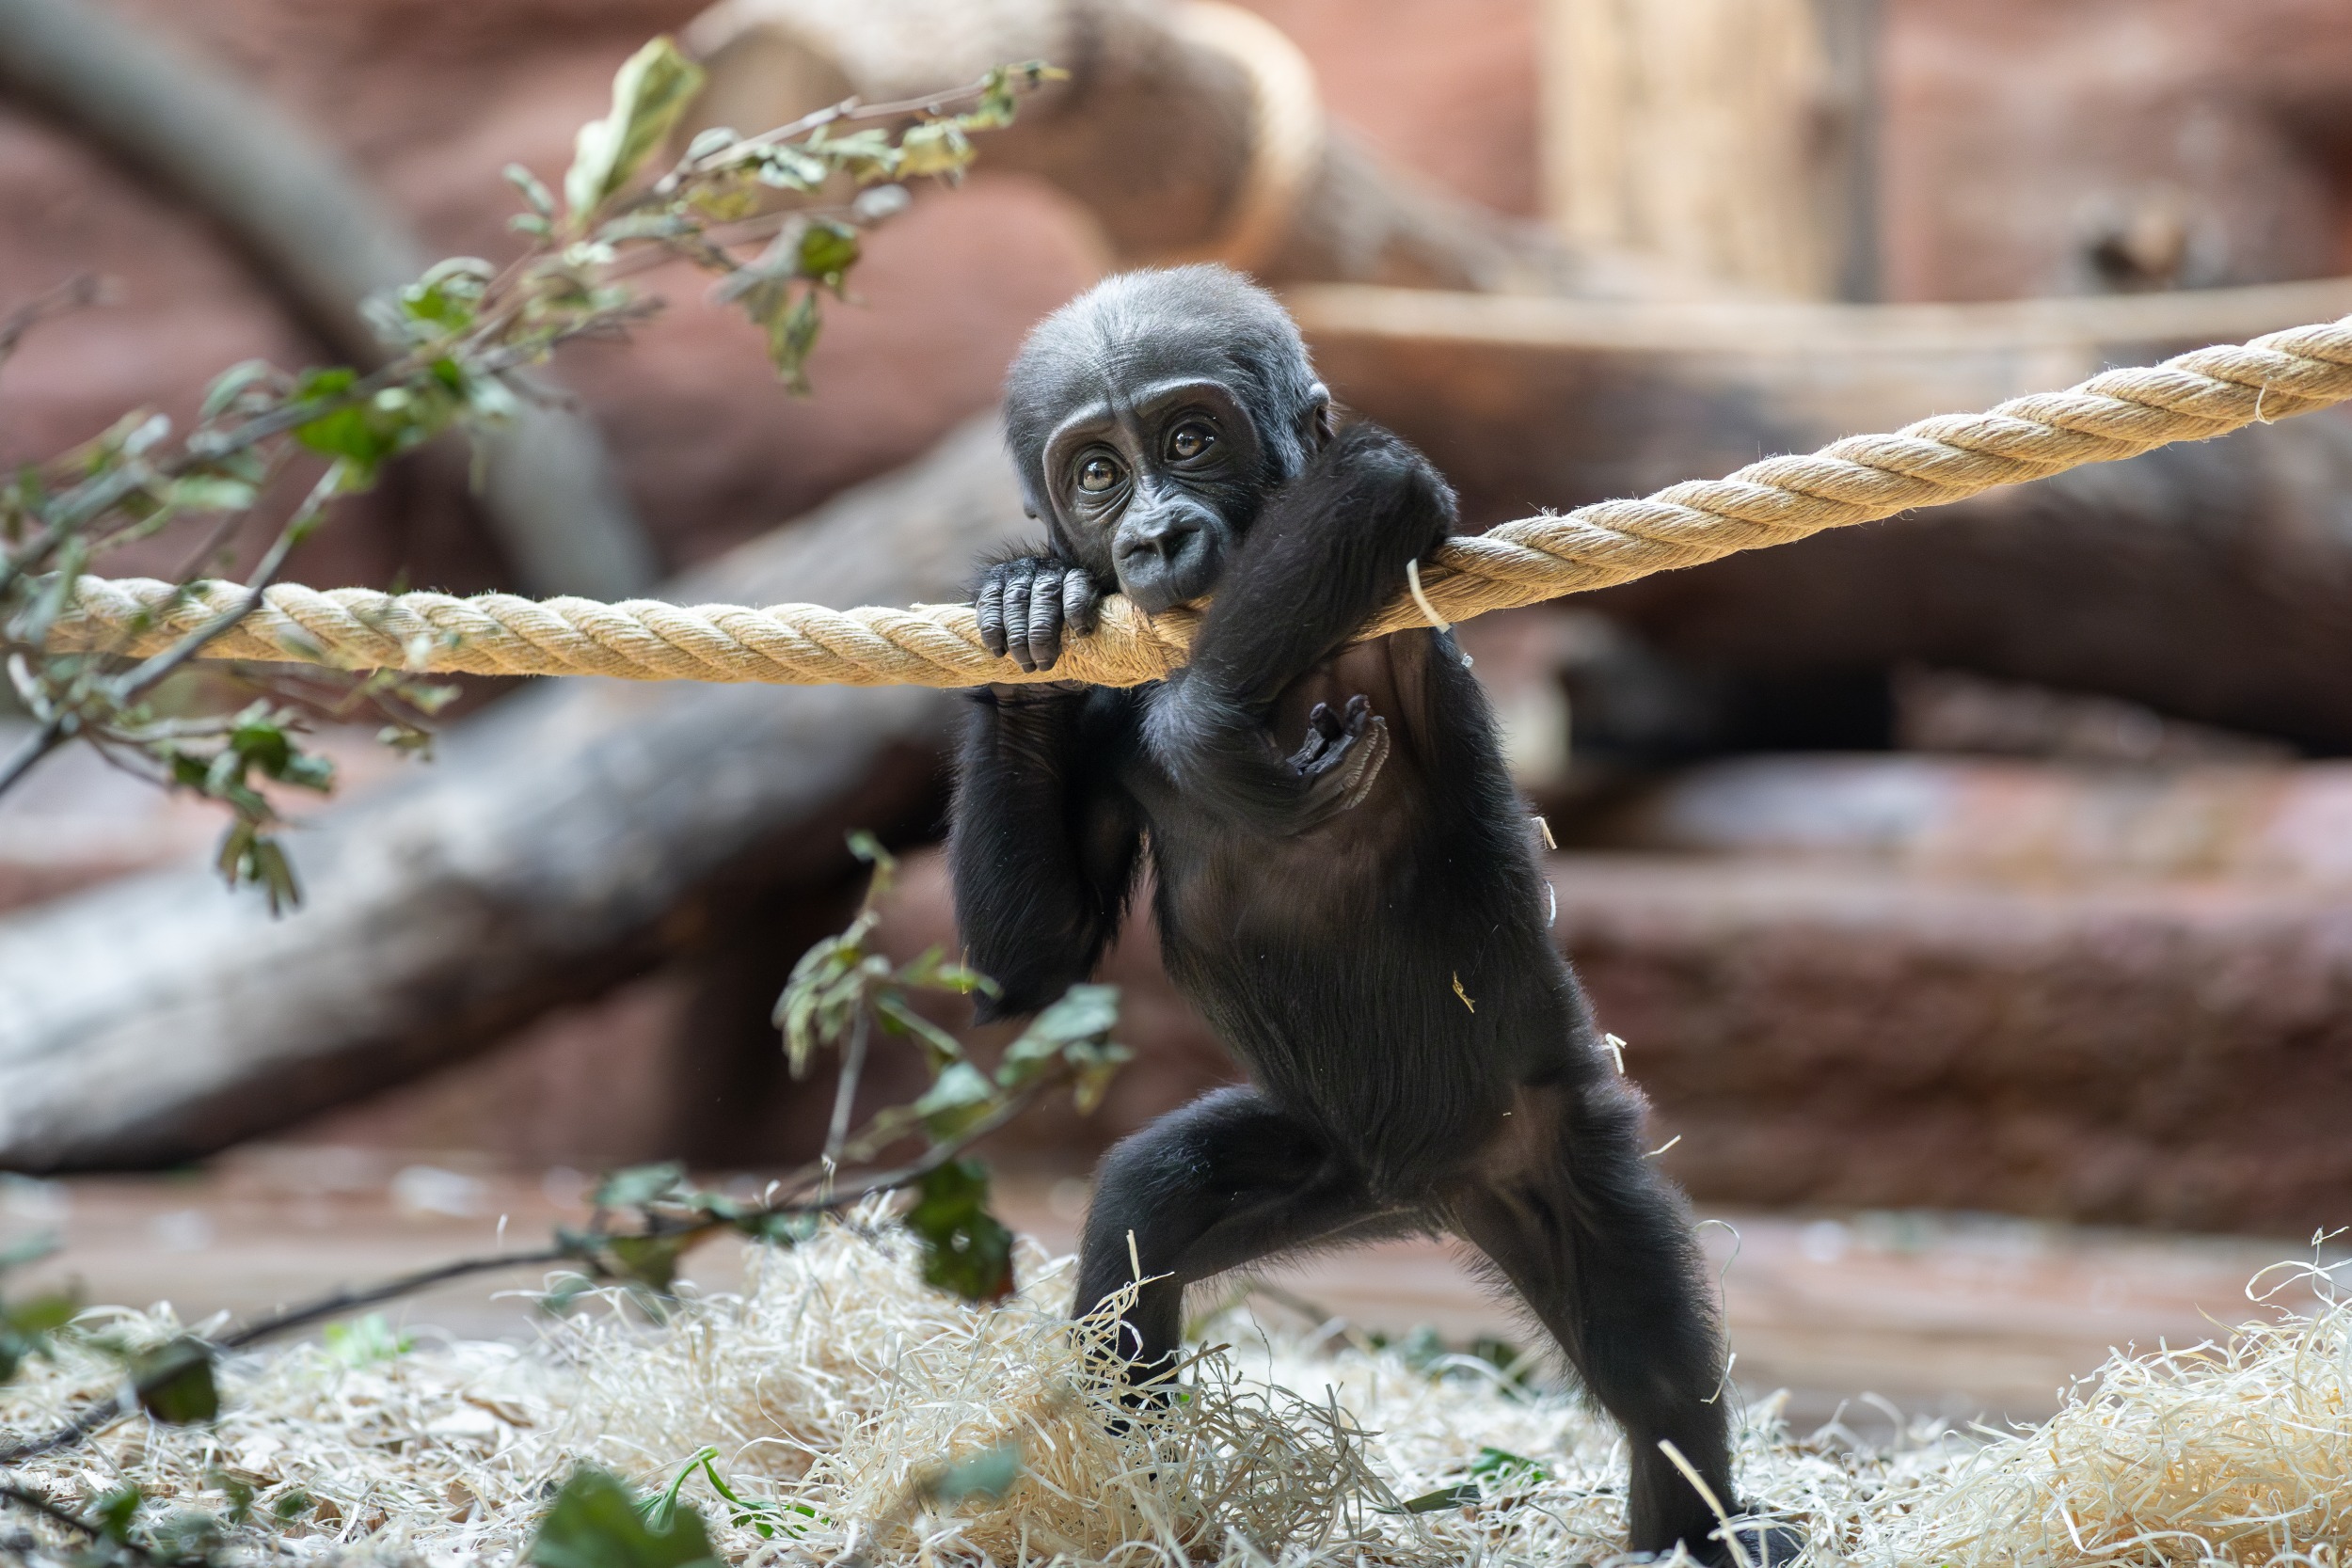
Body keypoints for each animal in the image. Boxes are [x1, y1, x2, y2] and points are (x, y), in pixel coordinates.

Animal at [946, 266, 1769, 1560]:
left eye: (1190, 439)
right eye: (1095, 471)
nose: (1152, 533)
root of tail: (1416, 1188)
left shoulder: (1388, 615)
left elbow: (1386, 477)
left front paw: (1203, 730)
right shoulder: (1097, 726)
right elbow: (1031, 965)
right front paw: (1030, 592)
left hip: (1546, 1142)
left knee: (1646, 1345)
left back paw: (1701, 1521)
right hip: (1320, 1161)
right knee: (1147, 1212)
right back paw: (1133, 1482)